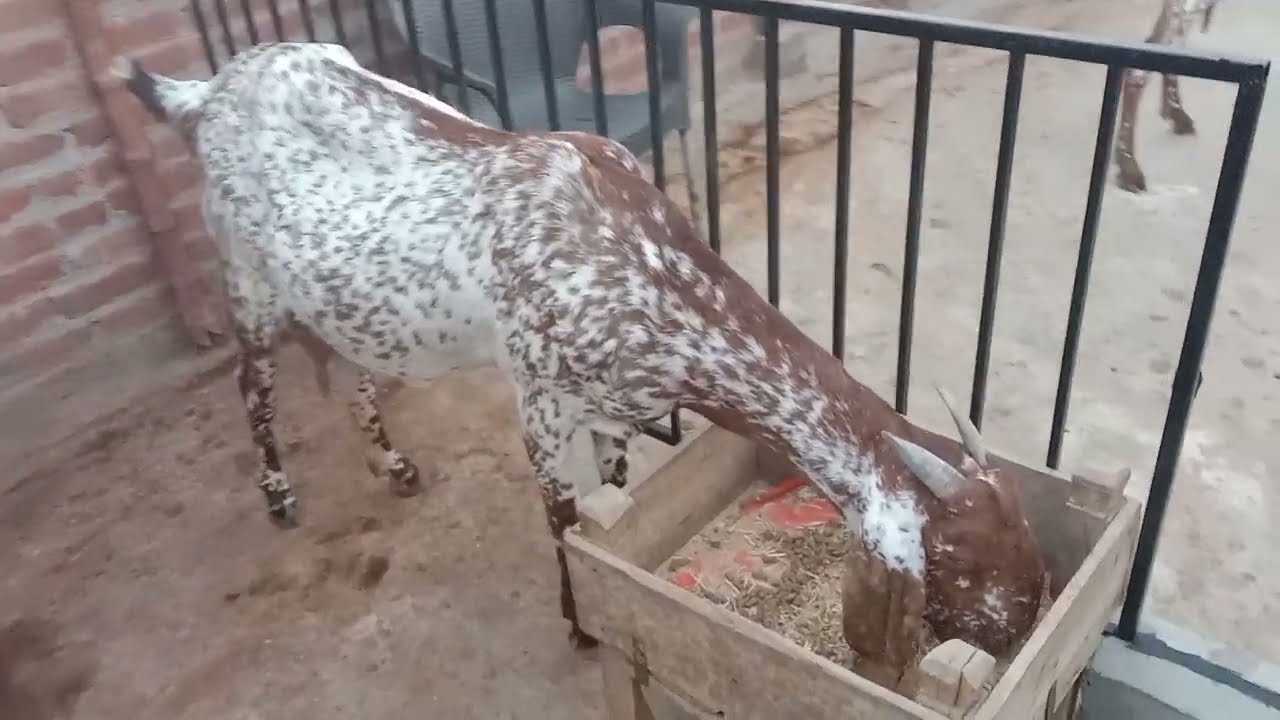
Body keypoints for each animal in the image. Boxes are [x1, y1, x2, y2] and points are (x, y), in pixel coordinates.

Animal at [116, 42, 1044, 672]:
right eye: (969, 565)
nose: (1022, 631)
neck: (644, 270)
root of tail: (201, 92)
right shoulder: (540, 400)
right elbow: (565, 520)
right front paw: (579, 622)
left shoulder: (615, 409)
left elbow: (613, 502)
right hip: (246, 277)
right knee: (254, 382)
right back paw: (279, 496)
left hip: (333, 295)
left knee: (348, 368)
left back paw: (393, 463)